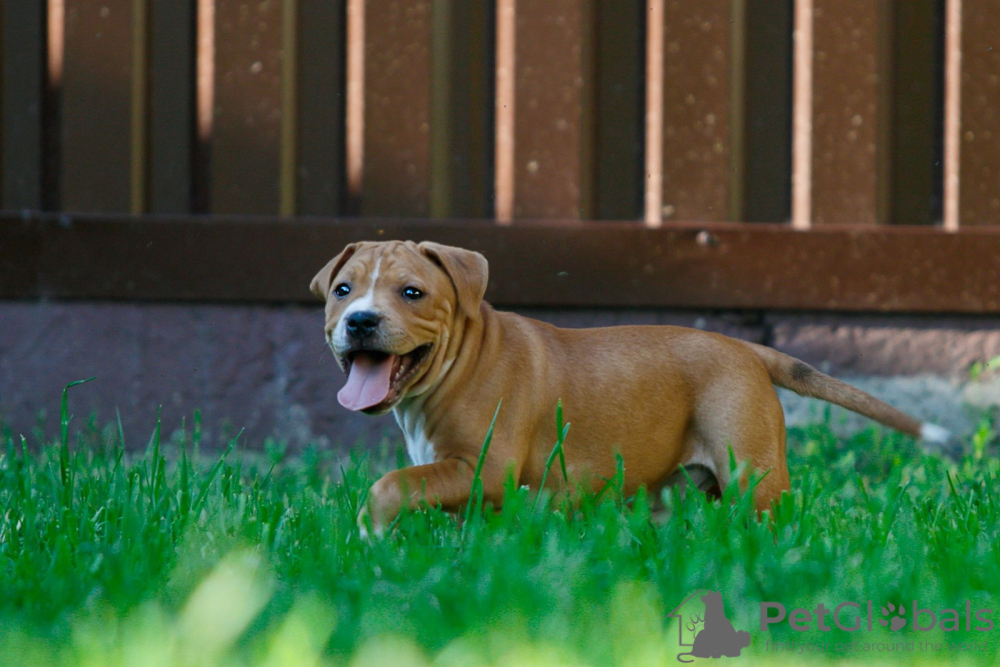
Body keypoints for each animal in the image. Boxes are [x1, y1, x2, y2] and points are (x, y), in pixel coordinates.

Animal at [311, 240, 949, 534]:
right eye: (343, 290)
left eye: (412, 293)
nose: (360, 321)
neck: (461, 359)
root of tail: (746, 348)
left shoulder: (484, 468)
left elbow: (392, 483)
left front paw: (370, 533)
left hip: (753, 470)